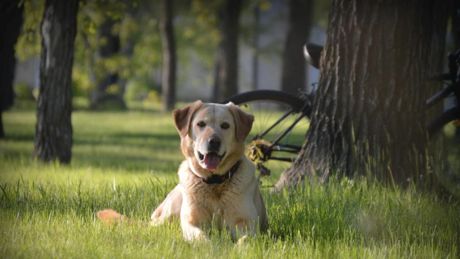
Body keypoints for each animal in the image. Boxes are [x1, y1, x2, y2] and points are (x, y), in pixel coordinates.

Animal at [151, 101, 268, 242]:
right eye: (201, 124)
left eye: (225, 125)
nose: (214, 142)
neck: (215, 182)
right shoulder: (192, 221)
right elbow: (200, 236)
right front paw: (209, 245)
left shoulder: (246, 222)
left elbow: (246, 238)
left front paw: (240, 246)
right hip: (169, 213)